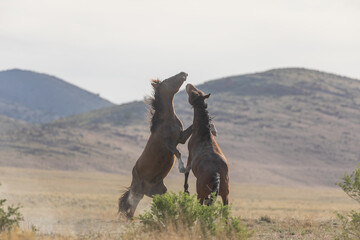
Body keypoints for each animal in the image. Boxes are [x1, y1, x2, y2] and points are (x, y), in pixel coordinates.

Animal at [117, 72, 191, 218]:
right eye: (167, 80)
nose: (183, 73)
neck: (166, 120)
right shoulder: (167, 143)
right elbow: (178, 152)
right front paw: (182, 168)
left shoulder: (181, 138)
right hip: (137, 193)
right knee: (130, 212)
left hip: (158, 192)